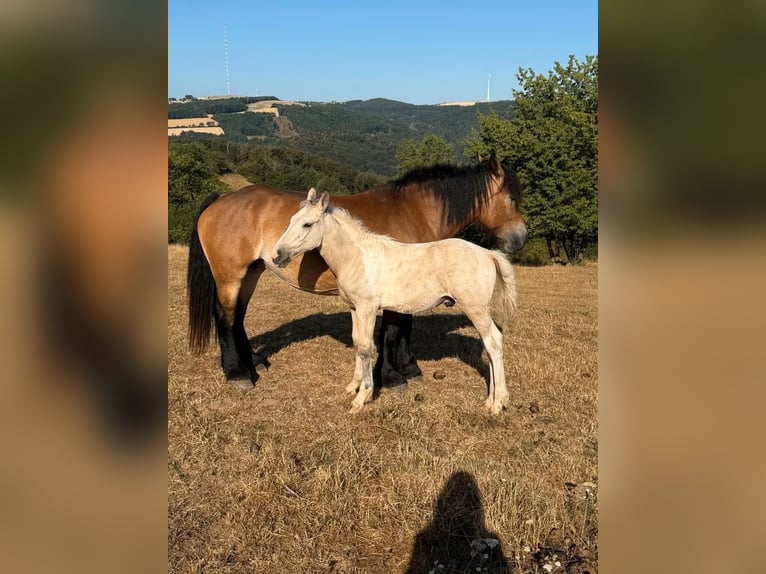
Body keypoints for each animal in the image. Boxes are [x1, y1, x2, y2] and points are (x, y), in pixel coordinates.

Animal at [187, 154, 526, 388]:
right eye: (512, 198)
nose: (520, 238)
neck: (414, 211)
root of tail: (219, 200)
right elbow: (390, 334)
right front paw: (391, 377)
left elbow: (403, 330)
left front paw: (409, 368)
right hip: (230, 276)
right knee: (225, 318)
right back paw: (237, 373)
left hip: (251, 273)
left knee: (238, 318)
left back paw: (254, 363)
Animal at [272, 187, 518, 414]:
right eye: (291, 220)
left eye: (307, 224)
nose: (277, 255)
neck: (356, 257)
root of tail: (488, 254)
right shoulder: (354, 307)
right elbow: (356, 343)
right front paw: (352, 386)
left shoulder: (368, 308)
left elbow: (366, 348)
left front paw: (362, 398)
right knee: (489, 345)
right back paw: (491, 400)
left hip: (475, 309)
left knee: (494, 343)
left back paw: (498, 403)